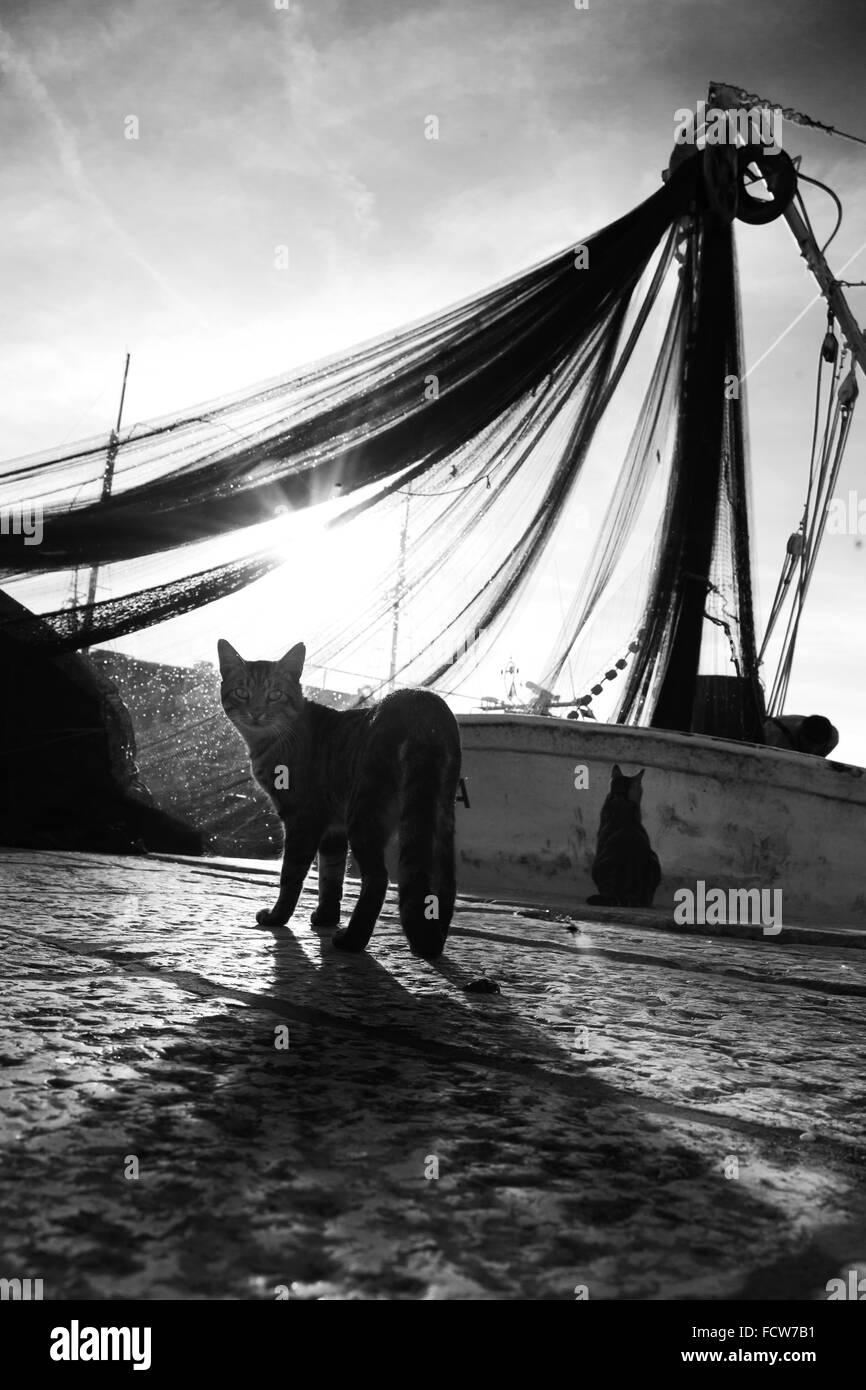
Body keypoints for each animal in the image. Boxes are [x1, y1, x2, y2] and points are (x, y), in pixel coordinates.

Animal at [218, 636, 461, 956]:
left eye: (275, 694)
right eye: (242, 692)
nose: (256, 712)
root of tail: (421, 704)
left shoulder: (303, 820)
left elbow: (291, 875)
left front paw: (277, 917)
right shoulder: (333, 828)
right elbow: (330, 877)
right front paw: (326, 917)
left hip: (366, 811)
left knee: (378, 879)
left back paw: (352, 940)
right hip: (440, 816)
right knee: (446, 884)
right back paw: (436, 939)